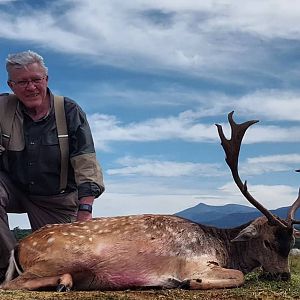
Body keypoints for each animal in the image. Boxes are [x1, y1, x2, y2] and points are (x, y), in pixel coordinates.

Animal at [1, 111, 298, 292]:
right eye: (268, 242)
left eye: (291, 242)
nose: (284, 275)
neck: (221, 244)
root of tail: (19, 246)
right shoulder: (193, 262)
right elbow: (237, 276)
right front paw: (189, 283)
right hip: (63, 257)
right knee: (10, 284)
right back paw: (63, 282)